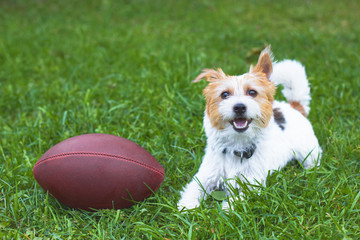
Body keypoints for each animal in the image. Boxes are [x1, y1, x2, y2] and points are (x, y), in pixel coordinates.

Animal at [179, 47, 322, 210]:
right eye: (224, 94)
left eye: (252, 92)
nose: (239, 107)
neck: (237, 145)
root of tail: (294, 106)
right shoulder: (205, 176)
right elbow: (193, 189)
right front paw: (187, 207)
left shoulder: (252, 185)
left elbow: (236, 199)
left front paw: (225, 209)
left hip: (308, 151)